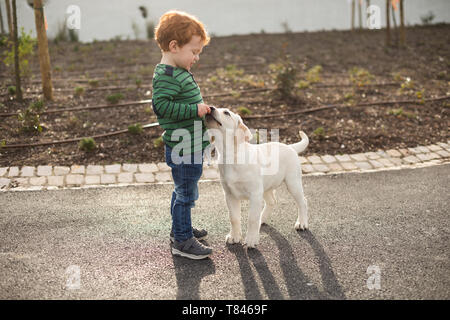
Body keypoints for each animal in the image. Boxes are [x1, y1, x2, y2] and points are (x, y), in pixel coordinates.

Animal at [205, 107, 308, 248]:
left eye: (226, 112)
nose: (210, 108)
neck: (232, 155)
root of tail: (290, 146)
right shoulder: (229, 195)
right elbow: (234, 218)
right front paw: (234, 236)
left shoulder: (255, 194)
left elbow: (252, 219)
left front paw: (251, 239)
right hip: (266, 187)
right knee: (272, 201)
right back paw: (262, 219)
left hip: (293, 183)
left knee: (302, 201)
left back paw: (302, 223)